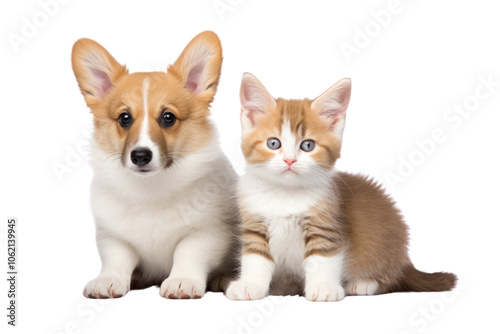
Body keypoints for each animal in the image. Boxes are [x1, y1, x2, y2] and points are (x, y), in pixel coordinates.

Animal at [71, 30, 240, 298]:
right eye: (124, 118)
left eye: (168, 117)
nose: (140, 156)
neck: (151, 187)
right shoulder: (112, 236)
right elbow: (116, 258)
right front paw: (108, 280)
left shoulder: (207, 233)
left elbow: (188, 253)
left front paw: (182, 280)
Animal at [227, 74, 458, 302]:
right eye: (273, 143)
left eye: (308, 145)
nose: (289, 160)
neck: (285, 193)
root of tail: (404, 259)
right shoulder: (254, 223)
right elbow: (255, 258)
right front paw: (250, 285)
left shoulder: (329, 223)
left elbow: (323, 257)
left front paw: (323, 287)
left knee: (389, 279)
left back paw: (363, 283)